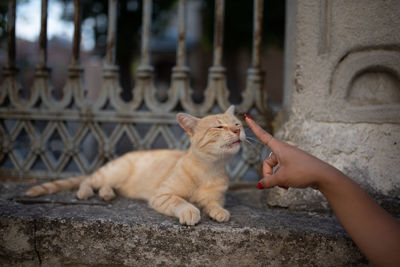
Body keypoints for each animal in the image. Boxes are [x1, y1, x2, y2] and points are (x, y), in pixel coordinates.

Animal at [26, 106, 245, 226]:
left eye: (237, 124)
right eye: (219, 126)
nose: (237, 131)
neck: (210, 168)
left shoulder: (214, 197)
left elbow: (213, 204)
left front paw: (218, 211)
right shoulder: (163, 195)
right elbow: (181, 201)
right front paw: (191, 211)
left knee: (105, 186)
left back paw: (106, 194)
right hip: (114, 172)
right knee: (89, 181)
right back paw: (86, 192)